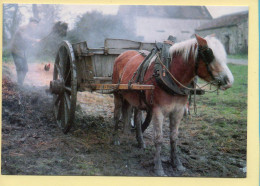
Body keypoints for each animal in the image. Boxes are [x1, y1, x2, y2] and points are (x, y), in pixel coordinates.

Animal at [111, 35, 234, 176]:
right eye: (208, 54)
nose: (230, 81)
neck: (172, 75)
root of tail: (122, 54)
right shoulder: (158, 111)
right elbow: (158, 138)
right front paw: (158, 167)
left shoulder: (178, 111)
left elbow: (174, 137)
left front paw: (177, 163)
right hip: (117, 94)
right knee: (117, 115)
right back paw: (115, 139)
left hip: (137, 99)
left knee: (136, 119)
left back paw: (140, 142)